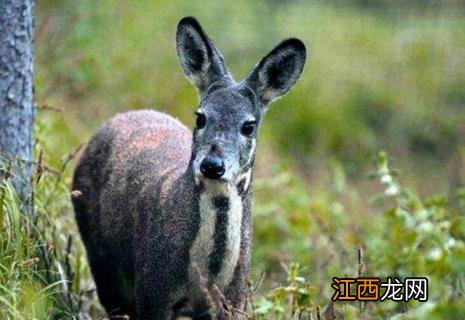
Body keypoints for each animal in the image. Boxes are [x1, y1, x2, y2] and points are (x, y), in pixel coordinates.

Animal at [71, 16, 304, 318]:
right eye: (200, 117)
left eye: (249, 125)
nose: (212, 165)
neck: (206, 273)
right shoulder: (152, 288)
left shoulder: (235, 299)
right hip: (102, 261)